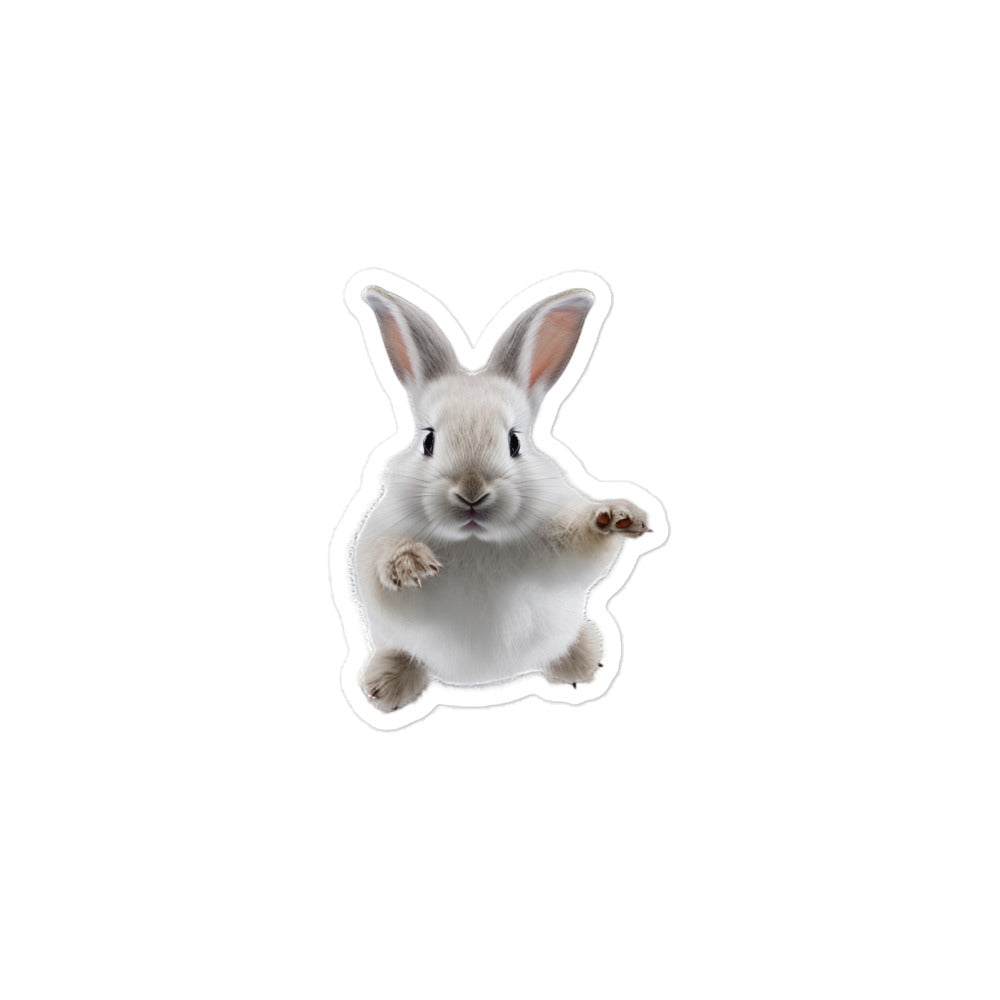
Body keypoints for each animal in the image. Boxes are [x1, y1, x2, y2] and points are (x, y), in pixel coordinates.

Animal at [353, 284, 650, 713]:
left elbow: (585, 541)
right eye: (428, 442)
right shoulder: (375, 546)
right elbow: (380, 564)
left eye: (514, 442)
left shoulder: (559, 545)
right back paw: (386, 685)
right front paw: (410, 563)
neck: (475, 540)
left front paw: (616, 517)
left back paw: (580, 660)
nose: (471, 493)